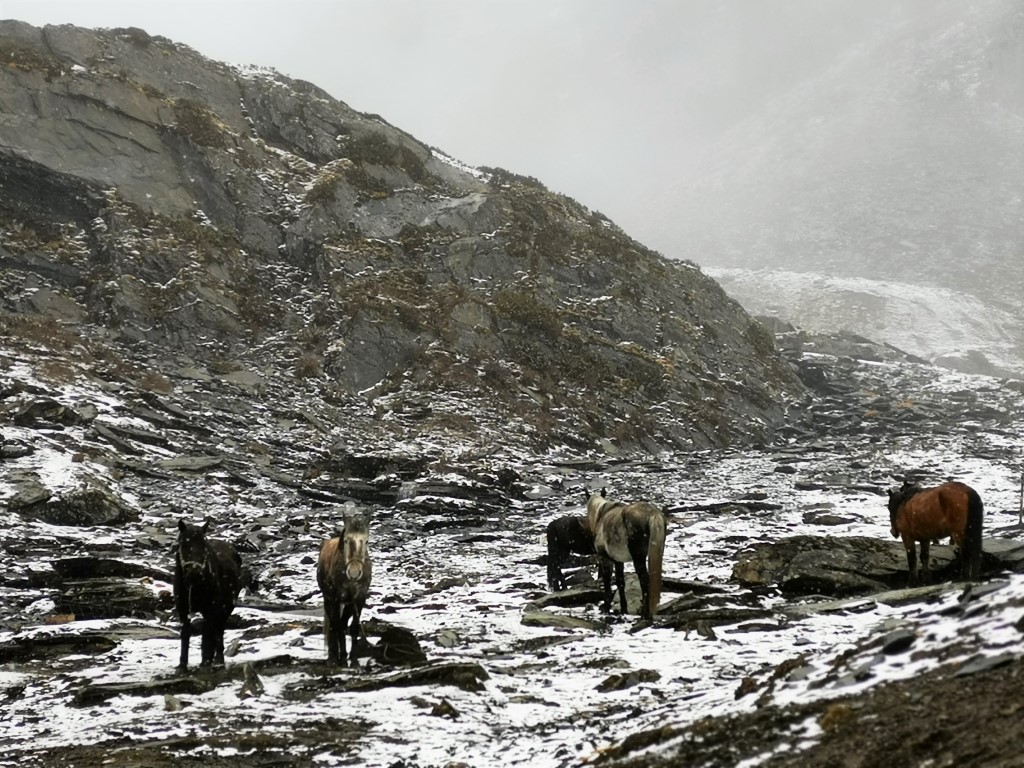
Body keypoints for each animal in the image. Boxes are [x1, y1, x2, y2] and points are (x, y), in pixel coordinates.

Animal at [174, 518, 243, 671]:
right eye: (183, 543)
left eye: (204, 545)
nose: (194, 574)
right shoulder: (182, 609)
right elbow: (186, 632)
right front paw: (182, 664)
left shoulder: (210, 608)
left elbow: (207, 632)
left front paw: (205, 661)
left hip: (226, 608)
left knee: (218, 629)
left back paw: (218, 660)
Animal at [317, 518, 374, 667]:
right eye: (346, 541)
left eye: (366, 541)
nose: (354, 573)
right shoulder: (335, 599)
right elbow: (337, 627)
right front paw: (341, 658)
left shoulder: (358, 599)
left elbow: (353, 628)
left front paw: (353, 659)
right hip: (328, 600)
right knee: (333, 625)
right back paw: (332, 657)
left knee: (341, 623)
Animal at [589, 489, 667, 622]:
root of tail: (653, 513)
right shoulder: (618, 561)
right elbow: (620, 583)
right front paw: (623, 609)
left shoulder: (605, 559)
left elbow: (607, 583)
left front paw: (606, 608)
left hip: (638, 559)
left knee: (644, 580)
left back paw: (645, 613)